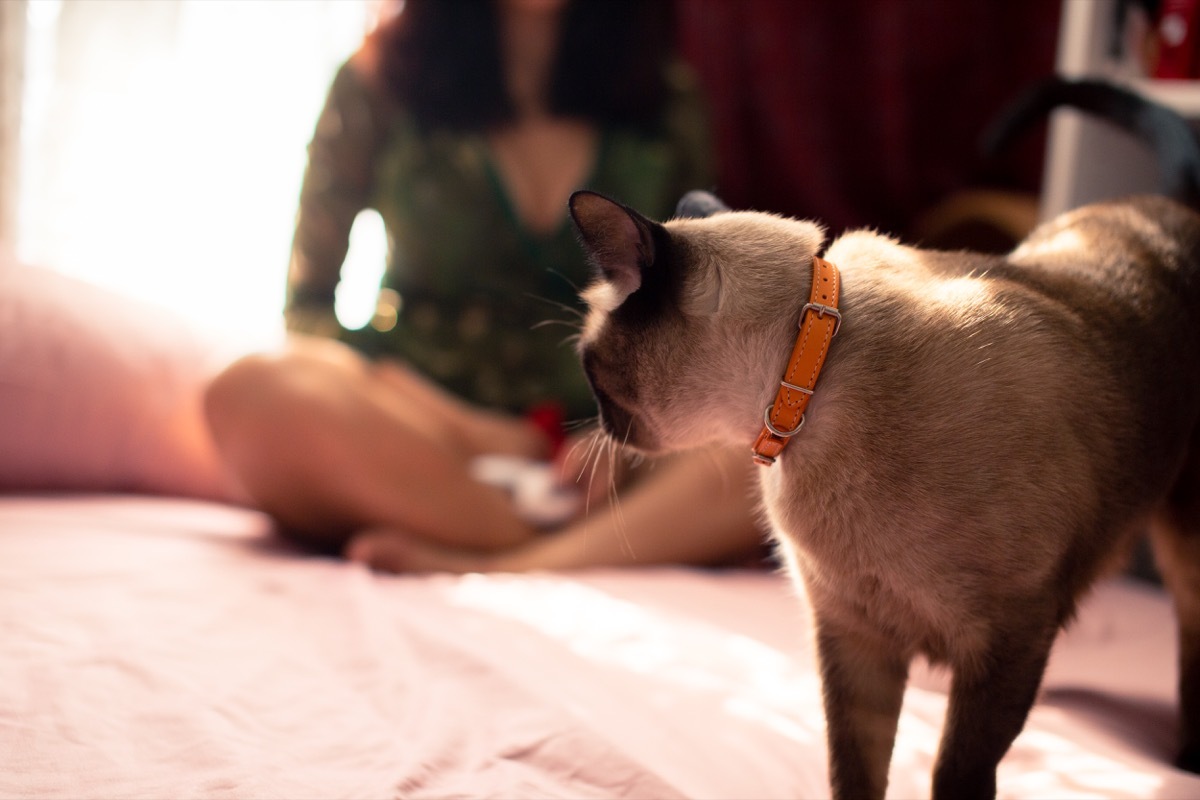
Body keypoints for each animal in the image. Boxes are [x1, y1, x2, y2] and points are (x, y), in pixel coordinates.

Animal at [566, 81, 1200, 800]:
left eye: (589, 368)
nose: (597, 426)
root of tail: (1165, 206)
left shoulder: (1002, 642)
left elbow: (955, 774)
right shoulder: (854, 637)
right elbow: (855, 772)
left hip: (1185, 547)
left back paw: (1186, 760)